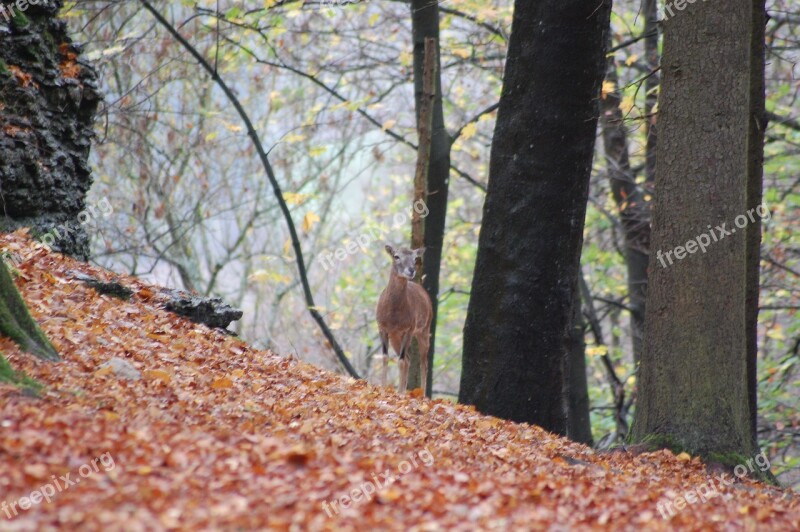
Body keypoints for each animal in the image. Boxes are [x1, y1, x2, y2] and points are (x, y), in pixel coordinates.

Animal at [376, 245, 432, 394]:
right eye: (396, 256)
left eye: (415, 258)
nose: (411, 270)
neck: (393, 316)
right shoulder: (382, 327)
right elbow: (385, 357)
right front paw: (383, 388)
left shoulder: (409, 328)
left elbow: (400, 361)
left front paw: (400, 393)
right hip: (396, 337)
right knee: (408, 359)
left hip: (424, 330)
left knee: (424, 362)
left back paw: (421, 394)